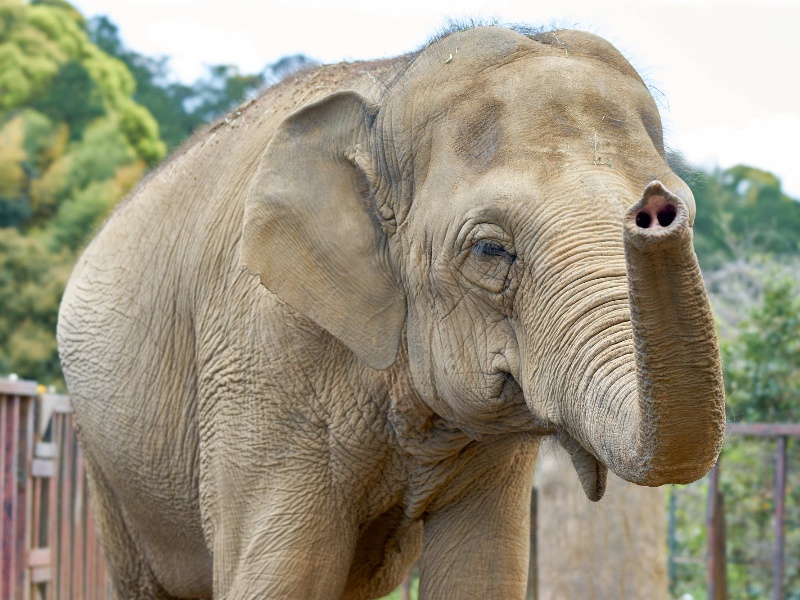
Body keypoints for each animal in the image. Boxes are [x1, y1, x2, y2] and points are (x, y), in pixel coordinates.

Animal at [57, 24, 724, 600]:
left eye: (683, 207)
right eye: (490, 250)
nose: (655, 209)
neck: (389, 86)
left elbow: (480, 574)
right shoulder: (259, 356)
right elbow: (282, 578)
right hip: (108, 463)